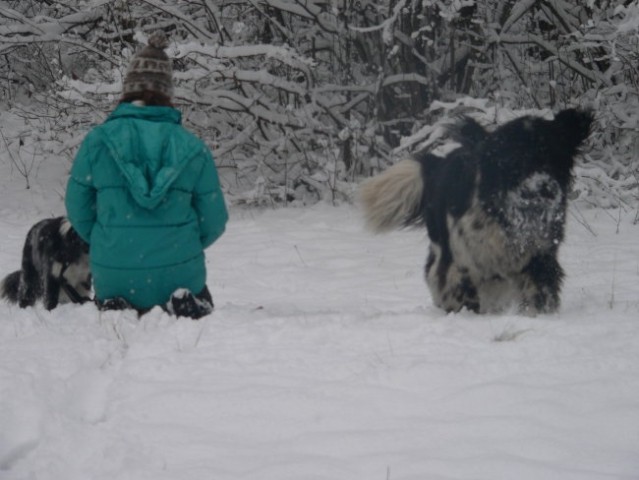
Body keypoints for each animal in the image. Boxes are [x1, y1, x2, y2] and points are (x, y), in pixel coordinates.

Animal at [360, 108, 596, 316]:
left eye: (554, 155)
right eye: (515, 158)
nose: (544, 187)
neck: (507, 215)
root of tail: (441, 162)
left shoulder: (539, 255)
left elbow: (540, 291)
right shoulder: (460, 262)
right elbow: (459, 292)